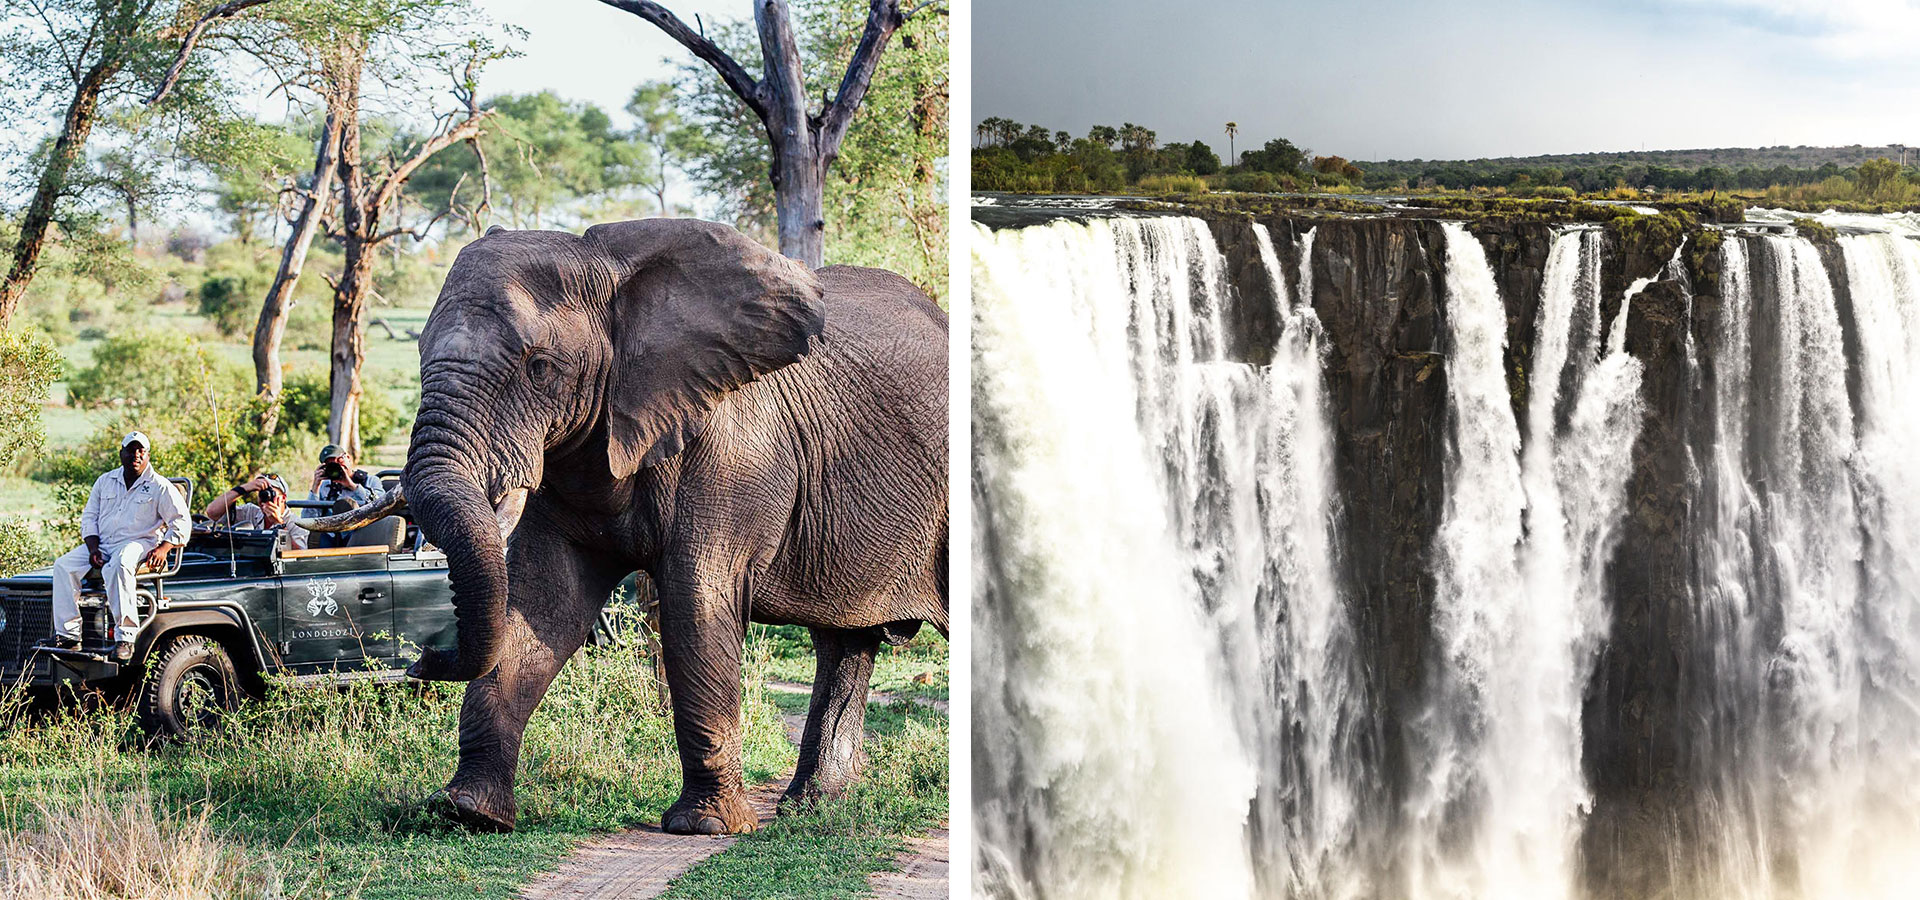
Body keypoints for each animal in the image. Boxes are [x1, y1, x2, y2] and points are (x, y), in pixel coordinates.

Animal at [308, 218, 947, 835]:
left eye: (539, 368)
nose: (420, 660)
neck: (612, 270)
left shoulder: (732, 452)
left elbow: (696, 607)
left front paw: (705, 827)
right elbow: (543, 605)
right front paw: (469, 812)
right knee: (844, 642)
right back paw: (809, 810)